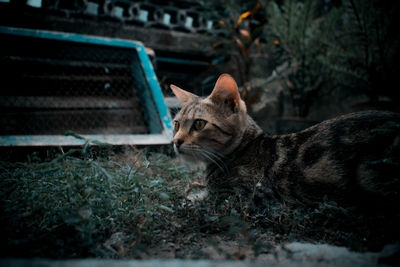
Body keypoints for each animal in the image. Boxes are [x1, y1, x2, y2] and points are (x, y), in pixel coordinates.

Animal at [170, 74, 400, 211]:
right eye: (176, 124)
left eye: (199, 124)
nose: (175, 141)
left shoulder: (245, 198)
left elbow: (200, 201)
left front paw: (189, 200)